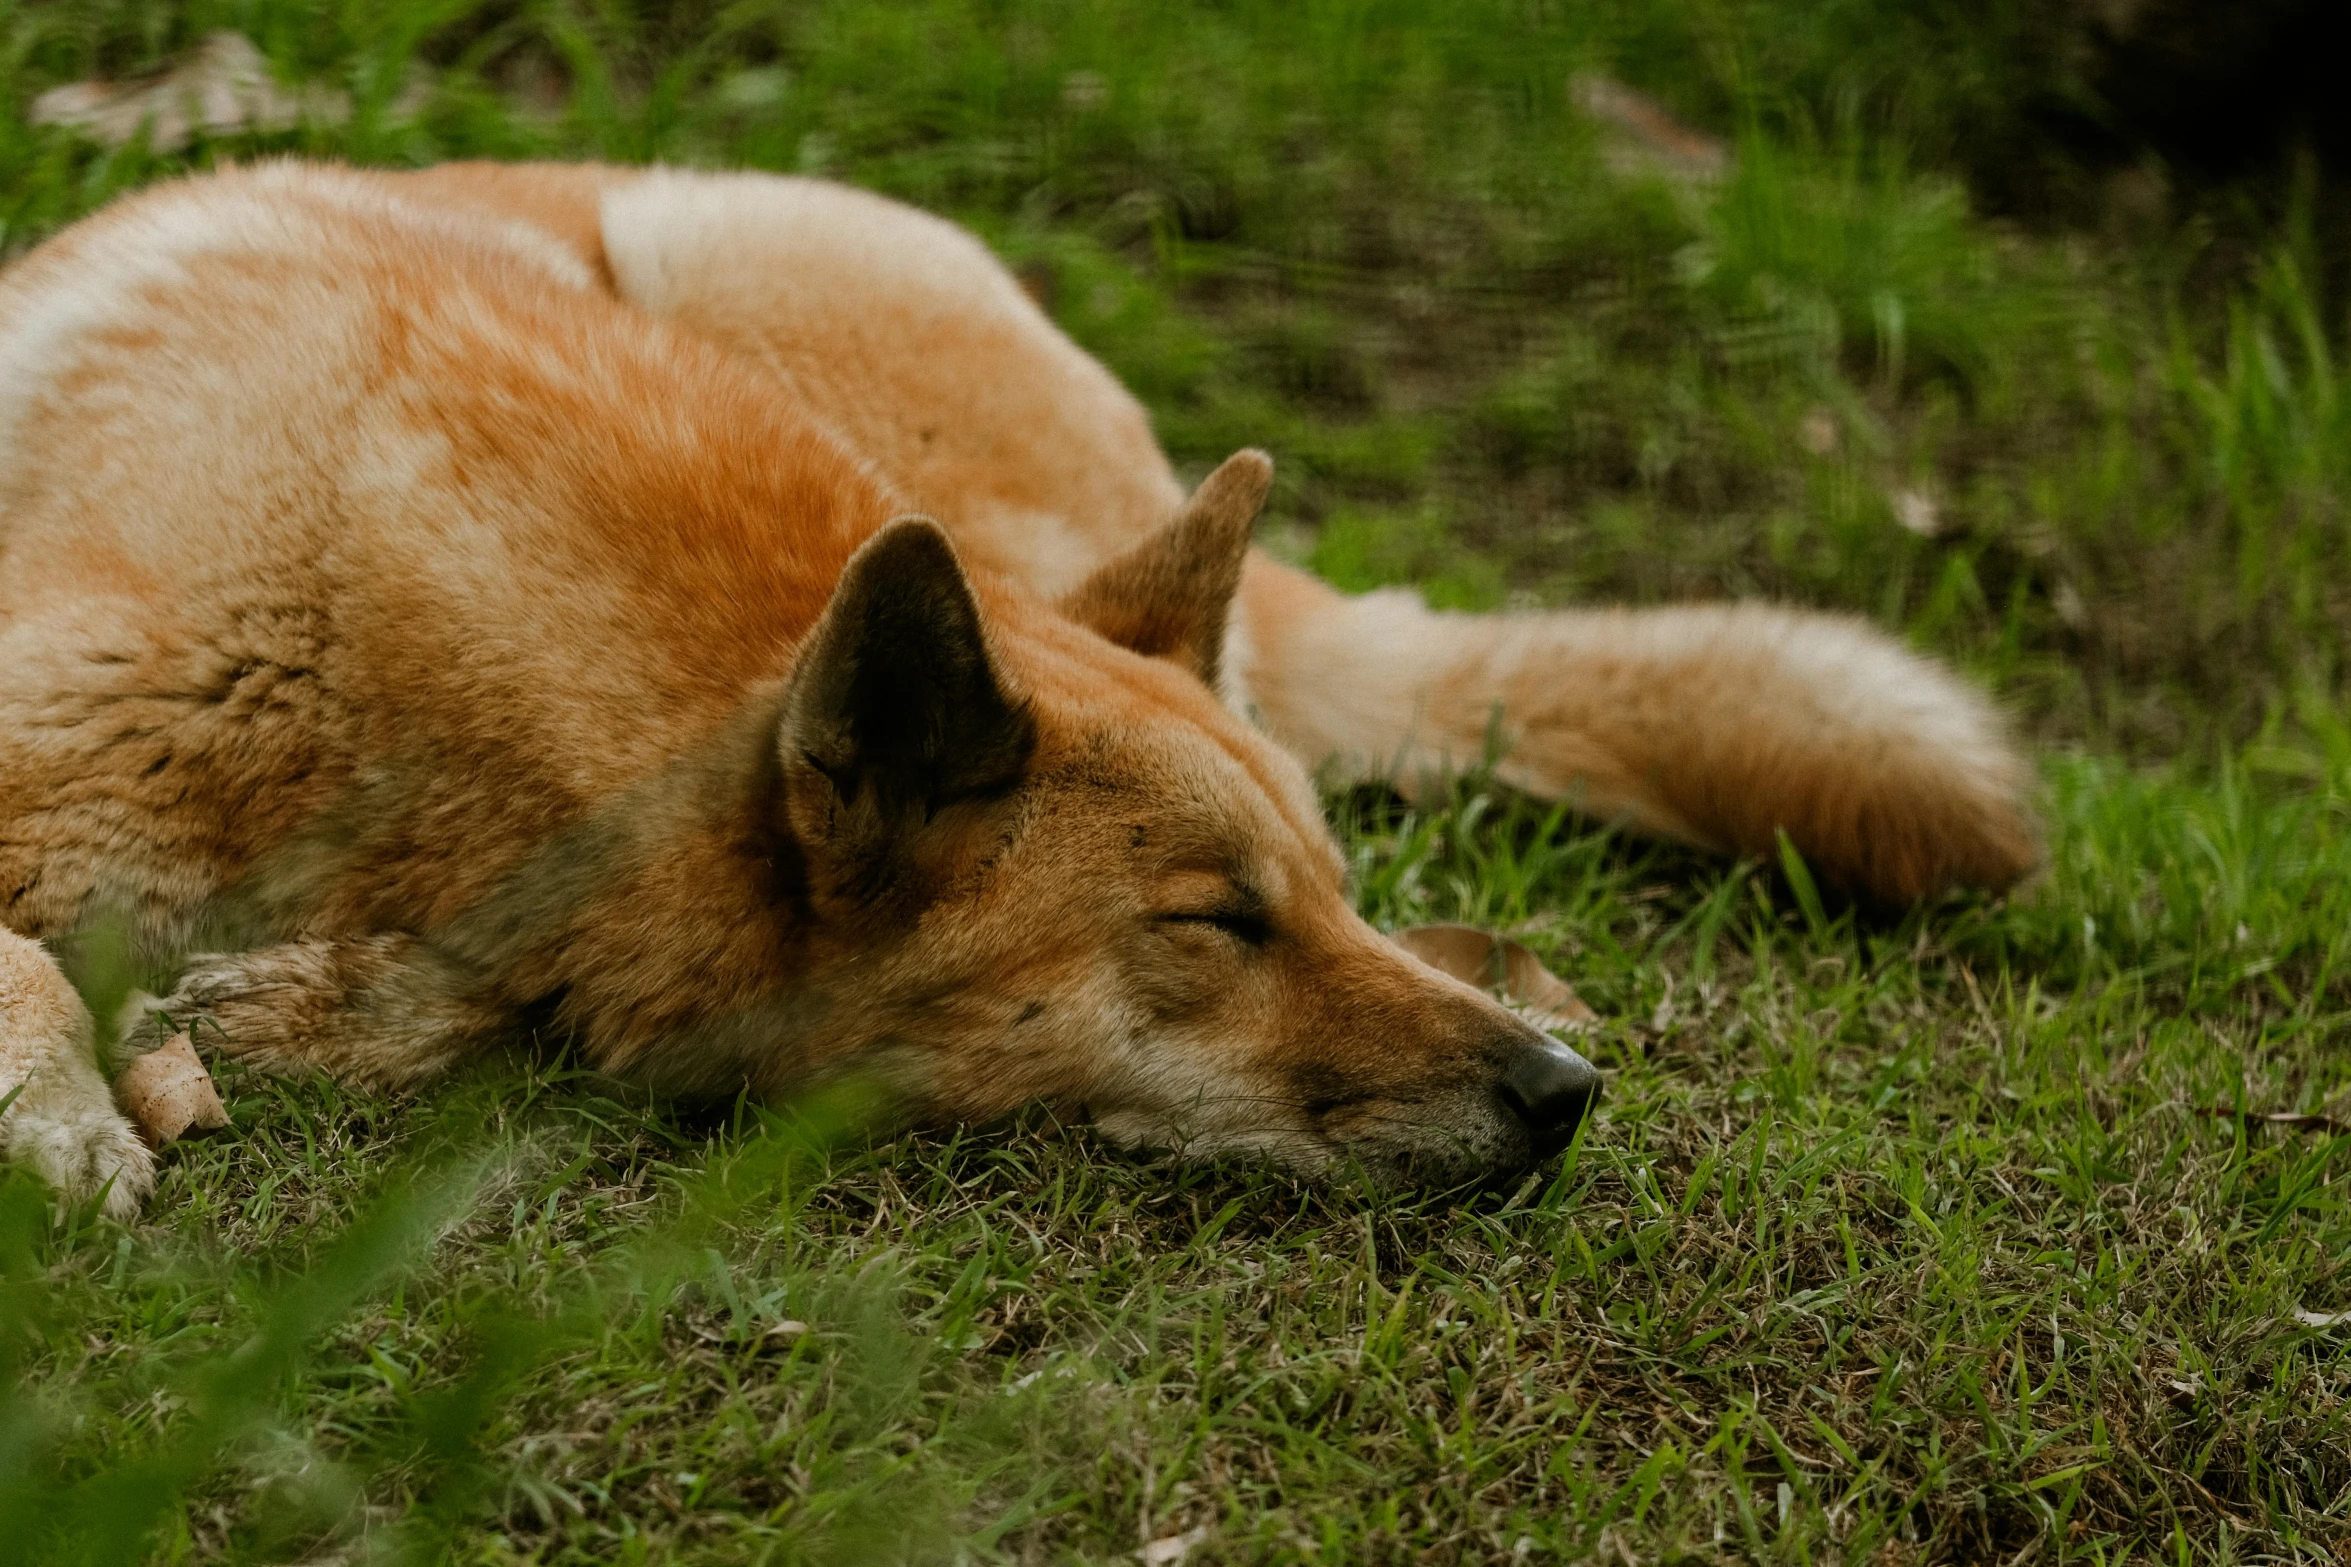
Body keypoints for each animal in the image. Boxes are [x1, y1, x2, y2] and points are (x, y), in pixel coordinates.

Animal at [0, 165, 2031, 1212]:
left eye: (1325, 902)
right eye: (1213, 923)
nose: (1562, 1098)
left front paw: (313, 1012)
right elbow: (32, 959)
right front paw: (68, 1111)